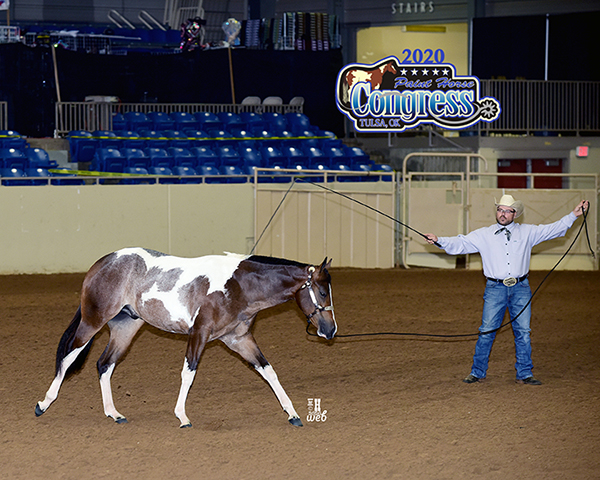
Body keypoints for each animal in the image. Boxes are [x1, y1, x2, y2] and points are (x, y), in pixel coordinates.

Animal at [36, 248, 338, 428]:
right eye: (323, 292)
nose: (331, 330)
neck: (237, 286)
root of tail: (104, 262)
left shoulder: (240, 339)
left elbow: (268, 371)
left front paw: (293, 413)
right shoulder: (199, 333)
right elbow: (188, 373)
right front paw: (182, 416)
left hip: (125, 328)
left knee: (104, 364)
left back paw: (114, 413)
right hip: (93, 321)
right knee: (69, 356)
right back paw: (44, 403)